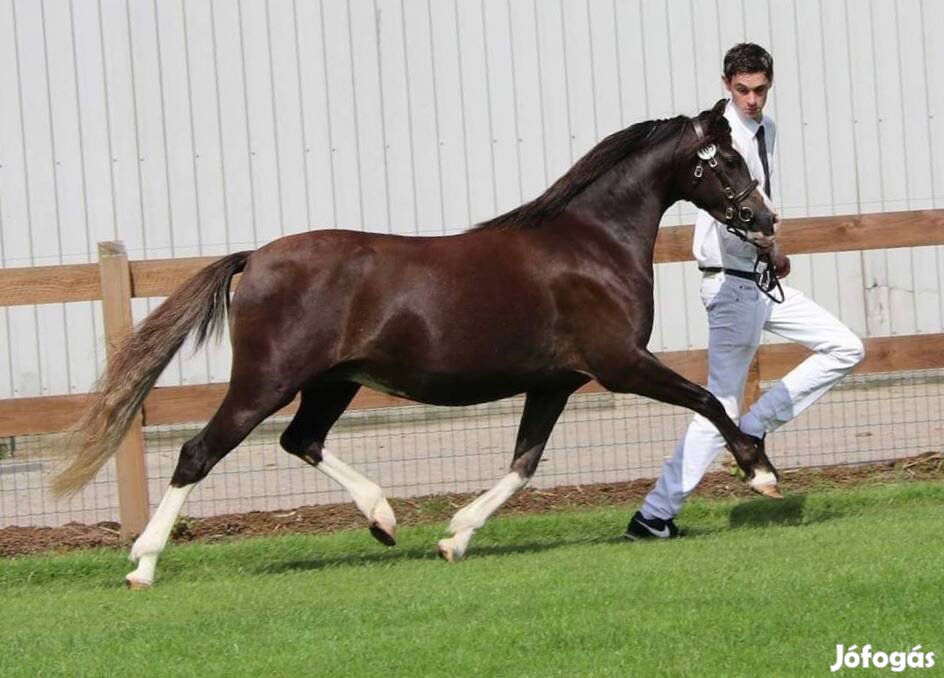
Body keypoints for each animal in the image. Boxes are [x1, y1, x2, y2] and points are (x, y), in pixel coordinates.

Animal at [57, 97, 780, 588]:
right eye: (728, 160)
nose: (765, 219)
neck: (591, 244)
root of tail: (254, 259)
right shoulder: (620, 364)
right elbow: (709, 401)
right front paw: (762, 473)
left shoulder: (554, 382)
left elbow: (524, 463)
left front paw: (454, 538)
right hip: (266, 381)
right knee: (198, 454)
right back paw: (142, 564)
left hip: (332, 382)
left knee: (302, 440)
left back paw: (383, 518)